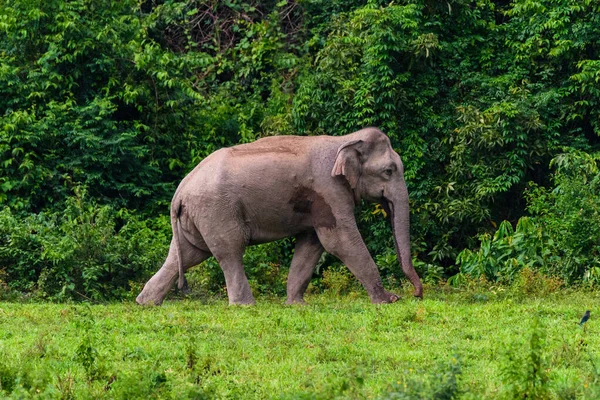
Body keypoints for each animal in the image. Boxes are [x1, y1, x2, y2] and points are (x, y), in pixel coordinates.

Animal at [138, 126, 424, 304]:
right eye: (389, 171)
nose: (416, 295)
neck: (344, 139)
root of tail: (180, 191)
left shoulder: (318, 201)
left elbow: (312, 244)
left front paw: (296, 304)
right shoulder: (329, 190)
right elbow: (340, 241)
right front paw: (388, 301)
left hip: (197, 216)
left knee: (187, 254)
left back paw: (146, 303)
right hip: (217, 210)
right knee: (229, 251)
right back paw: (245, 305)